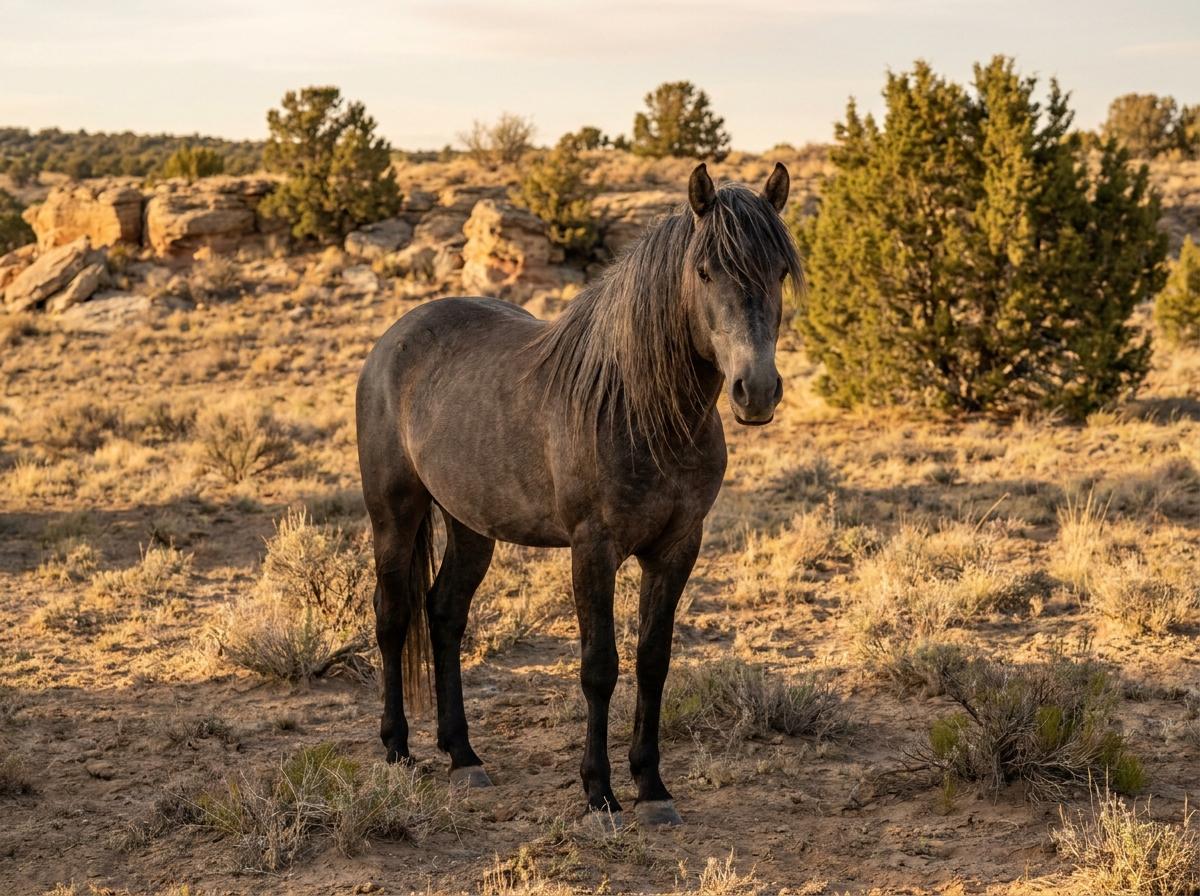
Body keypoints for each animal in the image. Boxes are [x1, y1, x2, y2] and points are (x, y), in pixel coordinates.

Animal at [355, 162, 802, 826]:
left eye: (778, 272)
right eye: (704, 271)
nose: (758, 391)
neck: (641, 409)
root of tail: (393, 339)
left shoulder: (677, 548)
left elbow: (652, 661)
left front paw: (652, 788)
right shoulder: (593, 549)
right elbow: (599, 667)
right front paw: (600, 792)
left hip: (471, 526)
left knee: (444, 614)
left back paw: (464, 756)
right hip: (395, 514)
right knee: (392, 617)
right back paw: (398, 752)